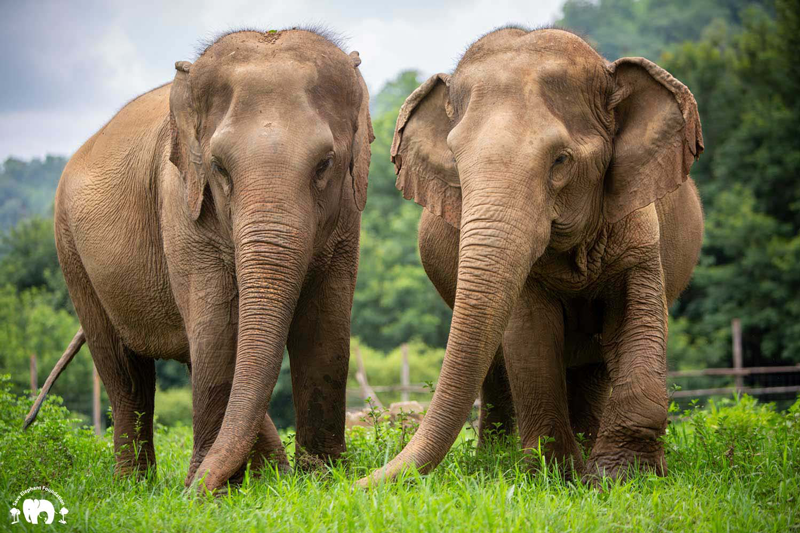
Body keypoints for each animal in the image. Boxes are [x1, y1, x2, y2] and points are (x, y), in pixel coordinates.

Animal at [25, 29, 374, 492]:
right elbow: (218, 327)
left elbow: (325, 326)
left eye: (325, 164)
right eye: (219, 168)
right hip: (70, 251)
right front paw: (217, 491)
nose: (191, 494)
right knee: (125, 373)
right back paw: (134, 487)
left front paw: (322, 481)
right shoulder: (181, 203)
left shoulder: (347, 217)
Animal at [360, 26, 704, 486]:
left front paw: (622, 478)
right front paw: (556, 477)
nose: (350, 483)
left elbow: (637, 318)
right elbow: (530, 338)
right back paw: (499, 458)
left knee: (593, 368)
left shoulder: (638, 226)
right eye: (456, 164)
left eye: (560, 160)